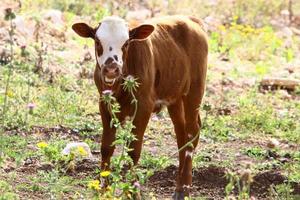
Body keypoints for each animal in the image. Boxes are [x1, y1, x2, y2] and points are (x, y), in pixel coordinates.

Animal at [73, 15, 209, 198]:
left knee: (191, 132)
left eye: (126, 43)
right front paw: (104, 190)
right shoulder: (104, 103)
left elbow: (133, 151)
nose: (111, 69)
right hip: (175, 97)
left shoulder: (144, 106)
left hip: (194, 91)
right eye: (97, 41)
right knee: (182, 135)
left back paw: (184, 190)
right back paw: (179, 188)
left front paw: (132, 192)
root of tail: (190, 19)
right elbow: (106, 147)